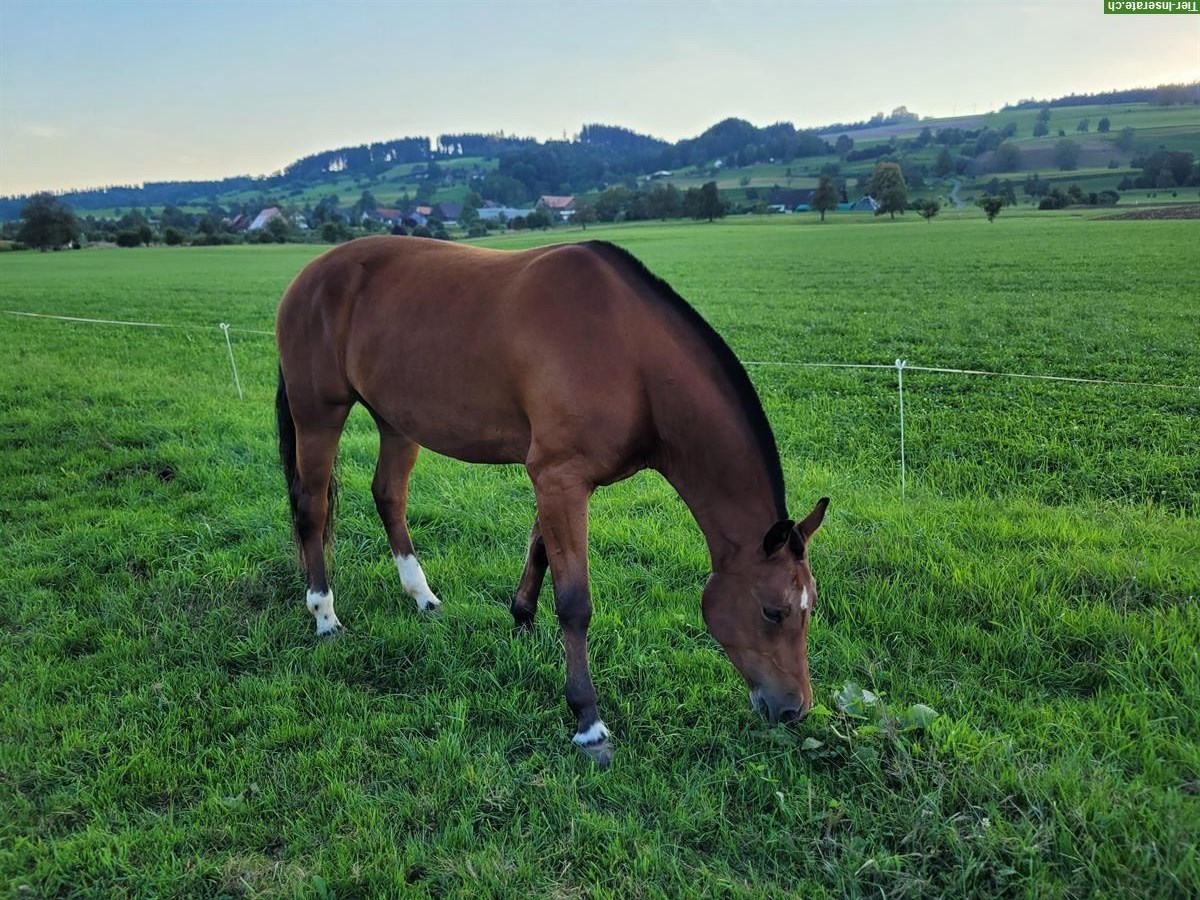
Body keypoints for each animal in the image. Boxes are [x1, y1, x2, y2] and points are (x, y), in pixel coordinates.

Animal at [276, 236, 830, 763]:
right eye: (774, 612)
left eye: (810, 607)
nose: (794, 709)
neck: (629, 352)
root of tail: (310, 274)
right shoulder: (560, 476)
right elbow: (575, 602)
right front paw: (588, 721)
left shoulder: (559, 480)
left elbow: (540, 550)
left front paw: (521, 621)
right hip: (319, 413)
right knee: (312, 507)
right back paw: (324, 614)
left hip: (395, 420)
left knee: (389, 496)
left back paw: (421, 595)